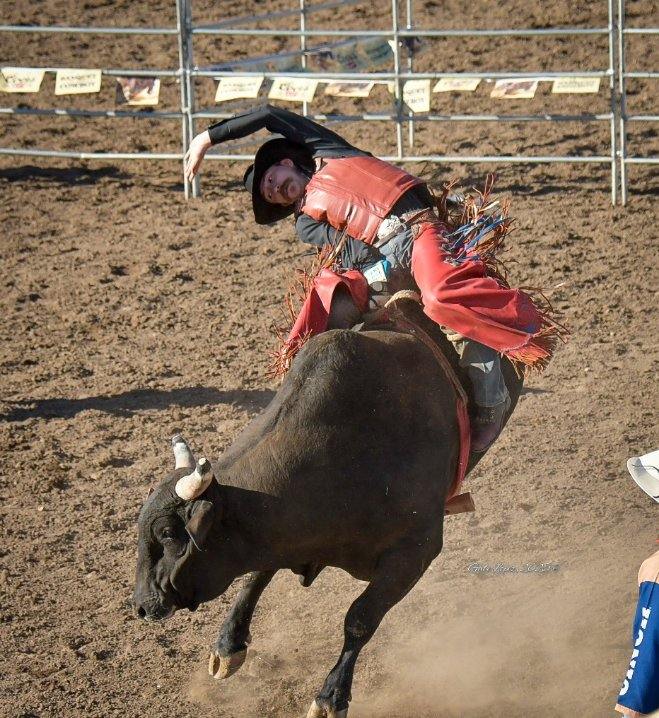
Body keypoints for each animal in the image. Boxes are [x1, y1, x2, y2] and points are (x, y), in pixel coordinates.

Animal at [134, 300, 524, 716]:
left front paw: (330, 696)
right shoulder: (277, 535)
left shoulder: (417, 551)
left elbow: (360, 619)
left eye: (169, 534)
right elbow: (257, 573)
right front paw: (228, 646)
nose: (141, 604)